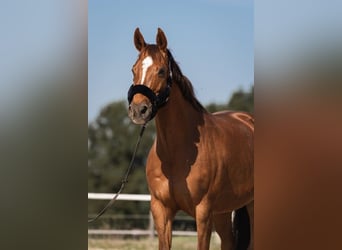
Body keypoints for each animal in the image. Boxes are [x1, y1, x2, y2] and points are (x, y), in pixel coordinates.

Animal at [127, 27, 252, 250]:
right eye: (133, 70)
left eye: (161, 71)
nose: (138, 110)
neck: (176, 154)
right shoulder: (161, 211)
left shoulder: (203, 213)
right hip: (223, 211)